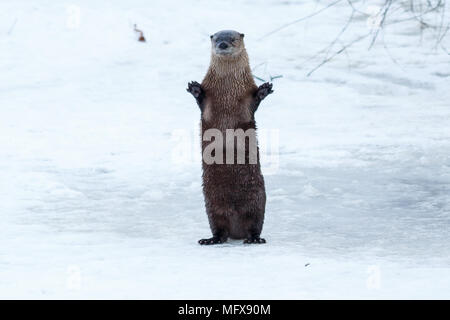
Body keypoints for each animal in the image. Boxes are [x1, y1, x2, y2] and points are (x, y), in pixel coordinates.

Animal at [185, 30, 272, 245]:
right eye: (216, 38)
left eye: (232, 38)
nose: (223, 44)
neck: (227, 91)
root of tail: (236, 230)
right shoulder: (209, 96)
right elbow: (201, 99)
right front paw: (195, 88)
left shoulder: (247, 94)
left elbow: (255, 100)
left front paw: (265, 89)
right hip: (212, 204)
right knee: (219, 228)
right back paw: (210, 240)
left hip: (257, 200)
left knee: (255, 224)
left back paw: (254, 239)